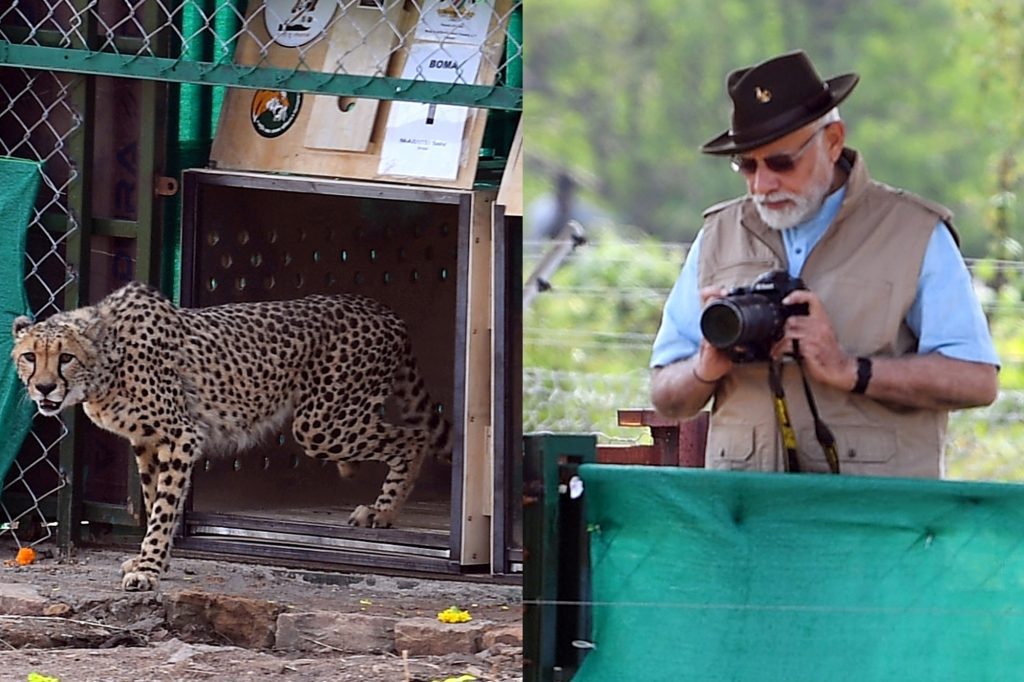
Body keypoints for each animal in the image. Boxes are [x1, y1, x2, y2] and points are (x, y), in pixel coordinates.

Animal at [11, 281, 452, 591]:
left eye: (66, 357)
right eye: (30, 357)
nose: (45, 388)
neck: (107, 362)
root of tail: (381, 309)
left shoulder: (179, 436)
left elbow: (164, 507)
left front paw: (149, 569)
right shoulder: (148, 442)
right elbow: (155, 501)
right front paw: (152, 561)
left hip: (321, 424)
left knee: (414, 436)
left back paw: (383, 511)